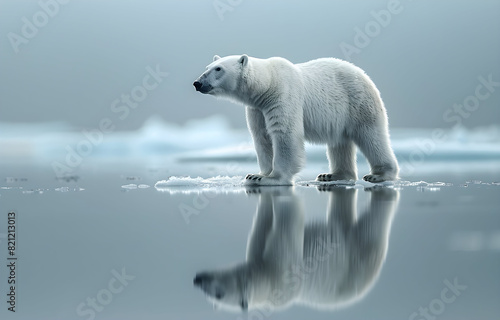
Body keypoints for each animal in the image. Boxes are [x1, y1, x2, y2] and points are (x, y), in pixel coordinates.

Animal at [193, 55, 400, 185]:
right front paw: (256, 175)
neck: (267, 86)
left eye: (218, 69)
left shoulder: (283, 97)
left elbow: (284, 134)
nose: (198, 83)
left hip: (359, 103)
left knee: (371, 136)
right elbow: (262, 137)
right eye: (207, 68)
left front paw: (271, 179)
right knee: (340, 142)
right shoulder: (257, 109)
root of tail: (364, 75)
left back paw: (379, 175)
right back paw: (332, 175)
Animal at [193, 186, 400, 312]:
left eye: (219, 294)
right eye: (213, 302)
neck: (270, 279)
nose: (198, 280)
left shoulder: (285, 267)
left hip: (358, 255)